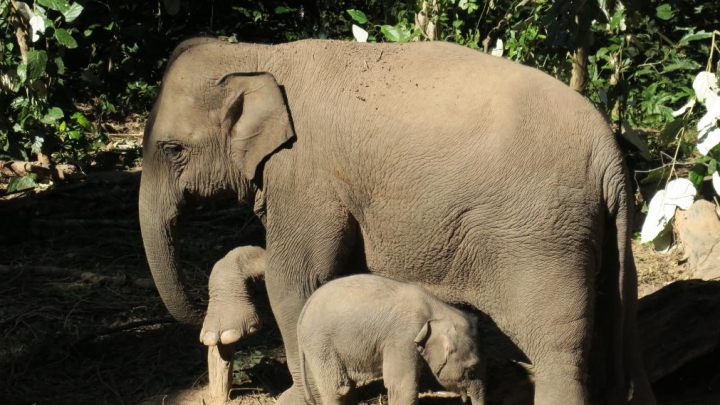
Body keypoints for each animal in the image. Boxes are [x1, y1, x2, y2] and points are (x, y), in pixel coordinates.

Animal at [296, 272, 486, 404]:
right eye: (471, 371)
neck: (437, 309)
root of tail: (303, 311)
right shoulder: (402, 338)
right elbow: (403, 387)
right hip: (320, 344)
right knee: (338, 389)